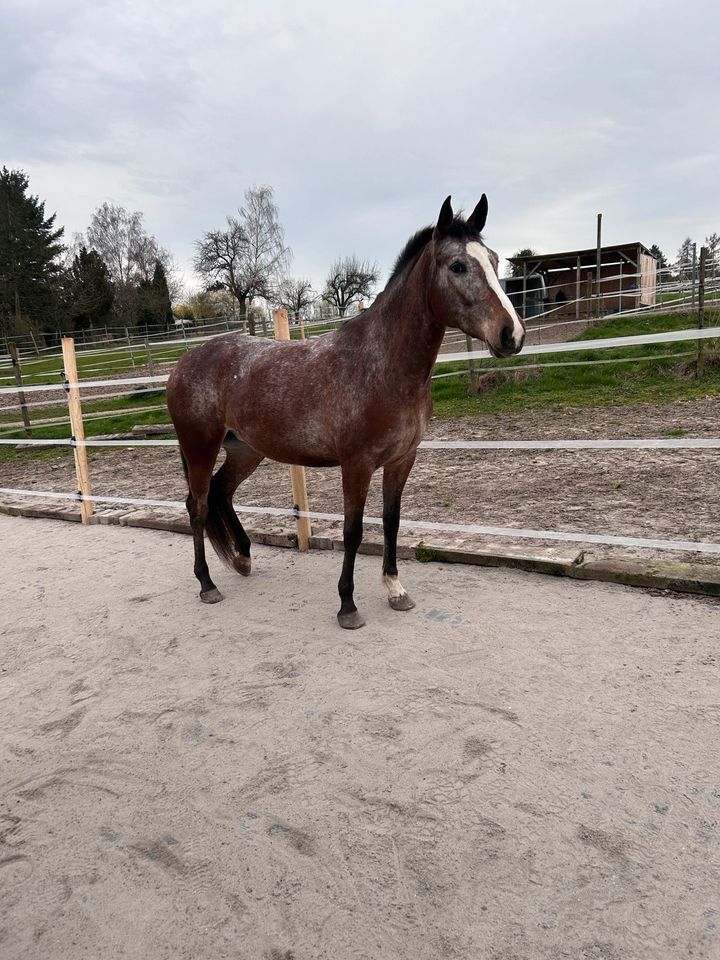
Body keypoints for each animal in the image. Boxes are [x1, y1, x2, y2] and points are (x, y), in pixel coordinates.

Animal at [169, 195, 528, 632]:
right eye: (458, 265)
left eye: (494, 260)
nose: (511, 334)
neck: (381, 364)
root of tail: (185, 361)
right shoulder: (356, 464)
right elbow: (353, 530)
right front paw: (347, 605)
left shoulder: (402, 459)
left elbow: (391, 521)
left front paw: (396, 590)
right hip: (200, 447)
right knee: (198, 505)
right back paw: (207, 583)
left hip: (245, 450)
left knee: (222, 491)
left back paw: (242, 558)